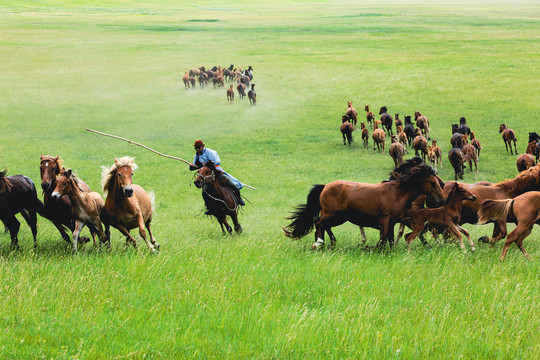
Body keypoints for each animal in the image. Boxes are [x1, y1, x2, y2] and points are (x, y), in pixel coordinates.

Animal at [280, 158, 446, 250]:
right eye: (433, 182)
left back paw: (331, 243)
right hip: (331, 214)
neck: (398, 192)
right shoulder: (385, 219)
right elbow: (383, 239)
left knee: (323, 226)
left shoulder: (392, 221)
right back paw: (319, 243)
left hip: (339, 218)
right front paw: (370, 248)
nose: (442, 200)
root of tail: (325, 186)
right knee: (318, 224)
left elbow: (390, 239)